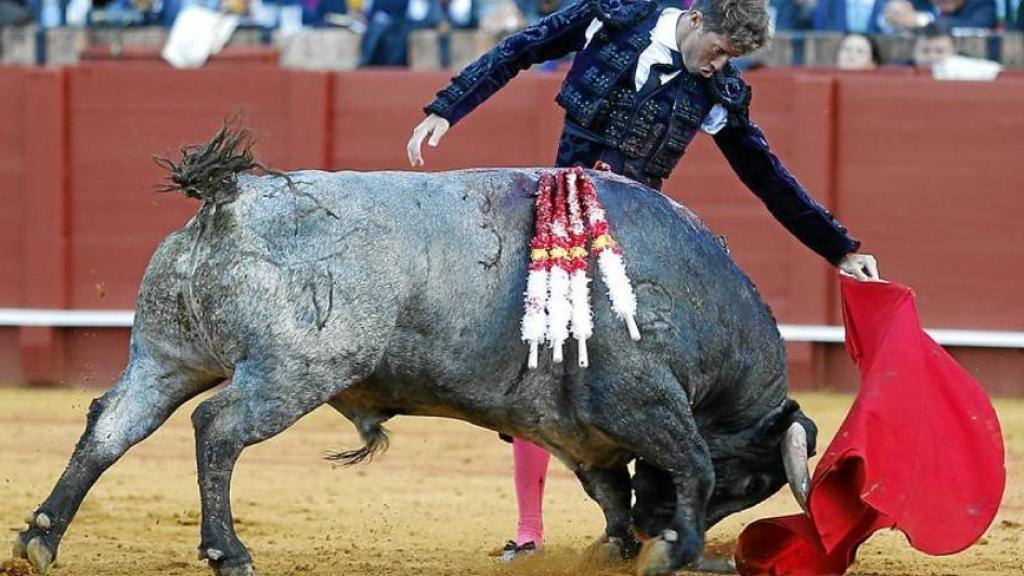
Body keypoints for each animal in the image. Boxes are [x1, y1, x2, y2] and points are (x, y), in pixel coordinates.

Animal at [9, 125, 815, 573]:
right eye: (752, 482)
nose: (658, 527)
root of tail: (233, 198)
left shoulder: (579, 429)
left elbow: (612, 489)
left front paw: (618, 549)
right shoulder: (641, 402)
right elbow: (692, 464)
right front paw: (671, 552)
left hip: (166, 356)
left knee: (113, 426)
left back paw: (43, 537)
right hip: (294, 372)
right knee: (218, 427)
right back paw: (227, 553)